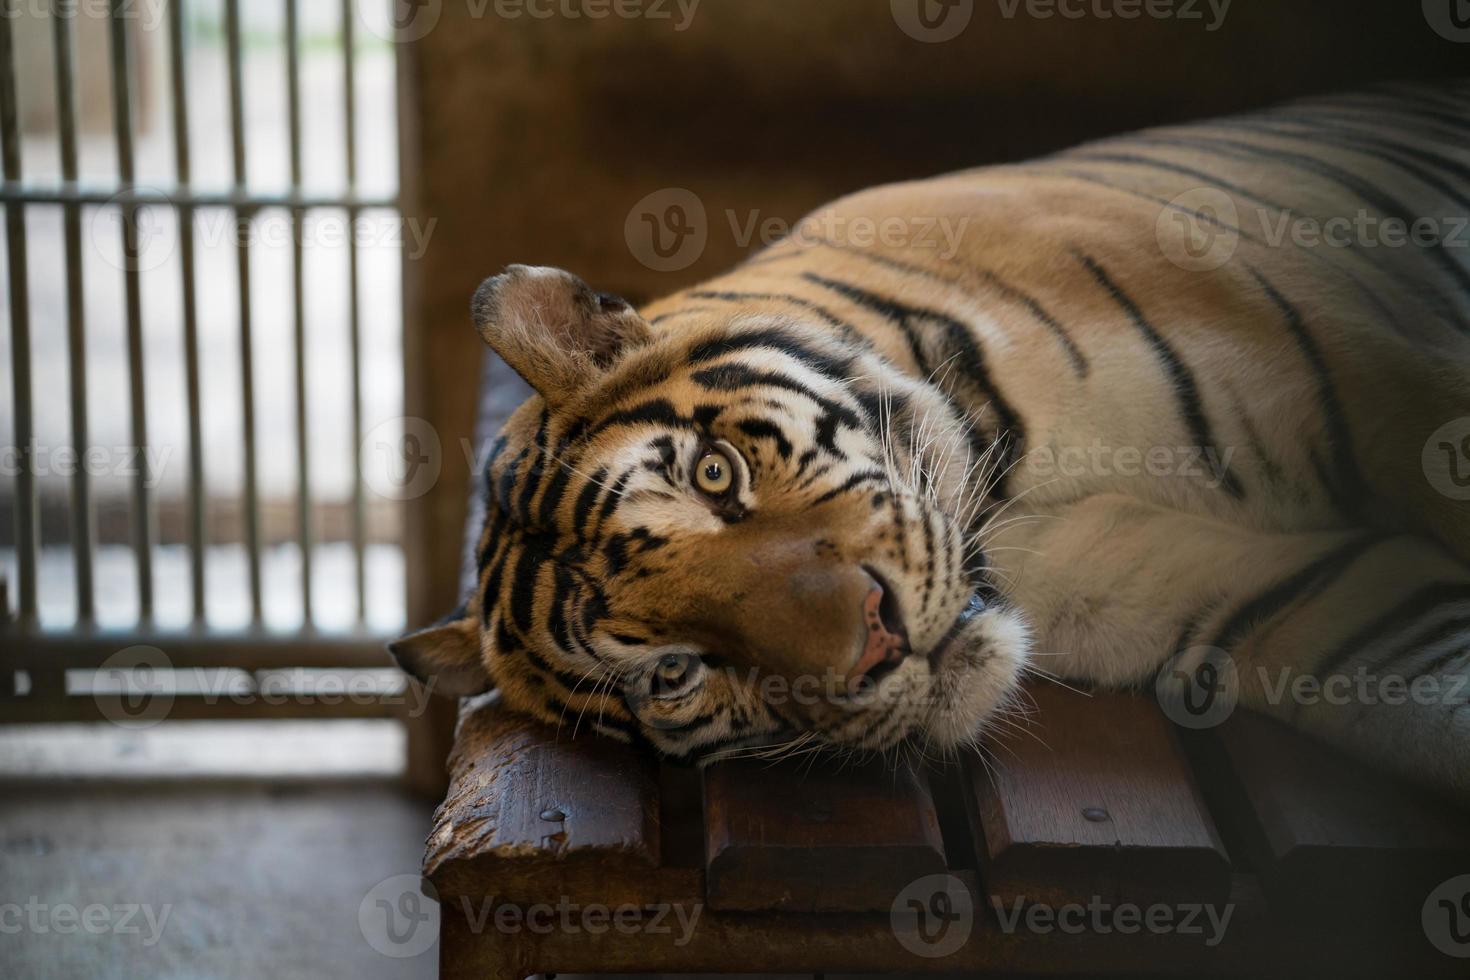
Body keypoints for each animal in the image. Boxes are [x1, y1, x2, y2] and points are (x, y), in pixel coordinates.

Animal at [388, 82, 1470, 805]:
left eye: (714, 475)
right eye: (671, 672)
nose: (880, 639)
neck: (1012, 511)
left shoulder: (1398, 391)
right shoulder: (1261, 601)